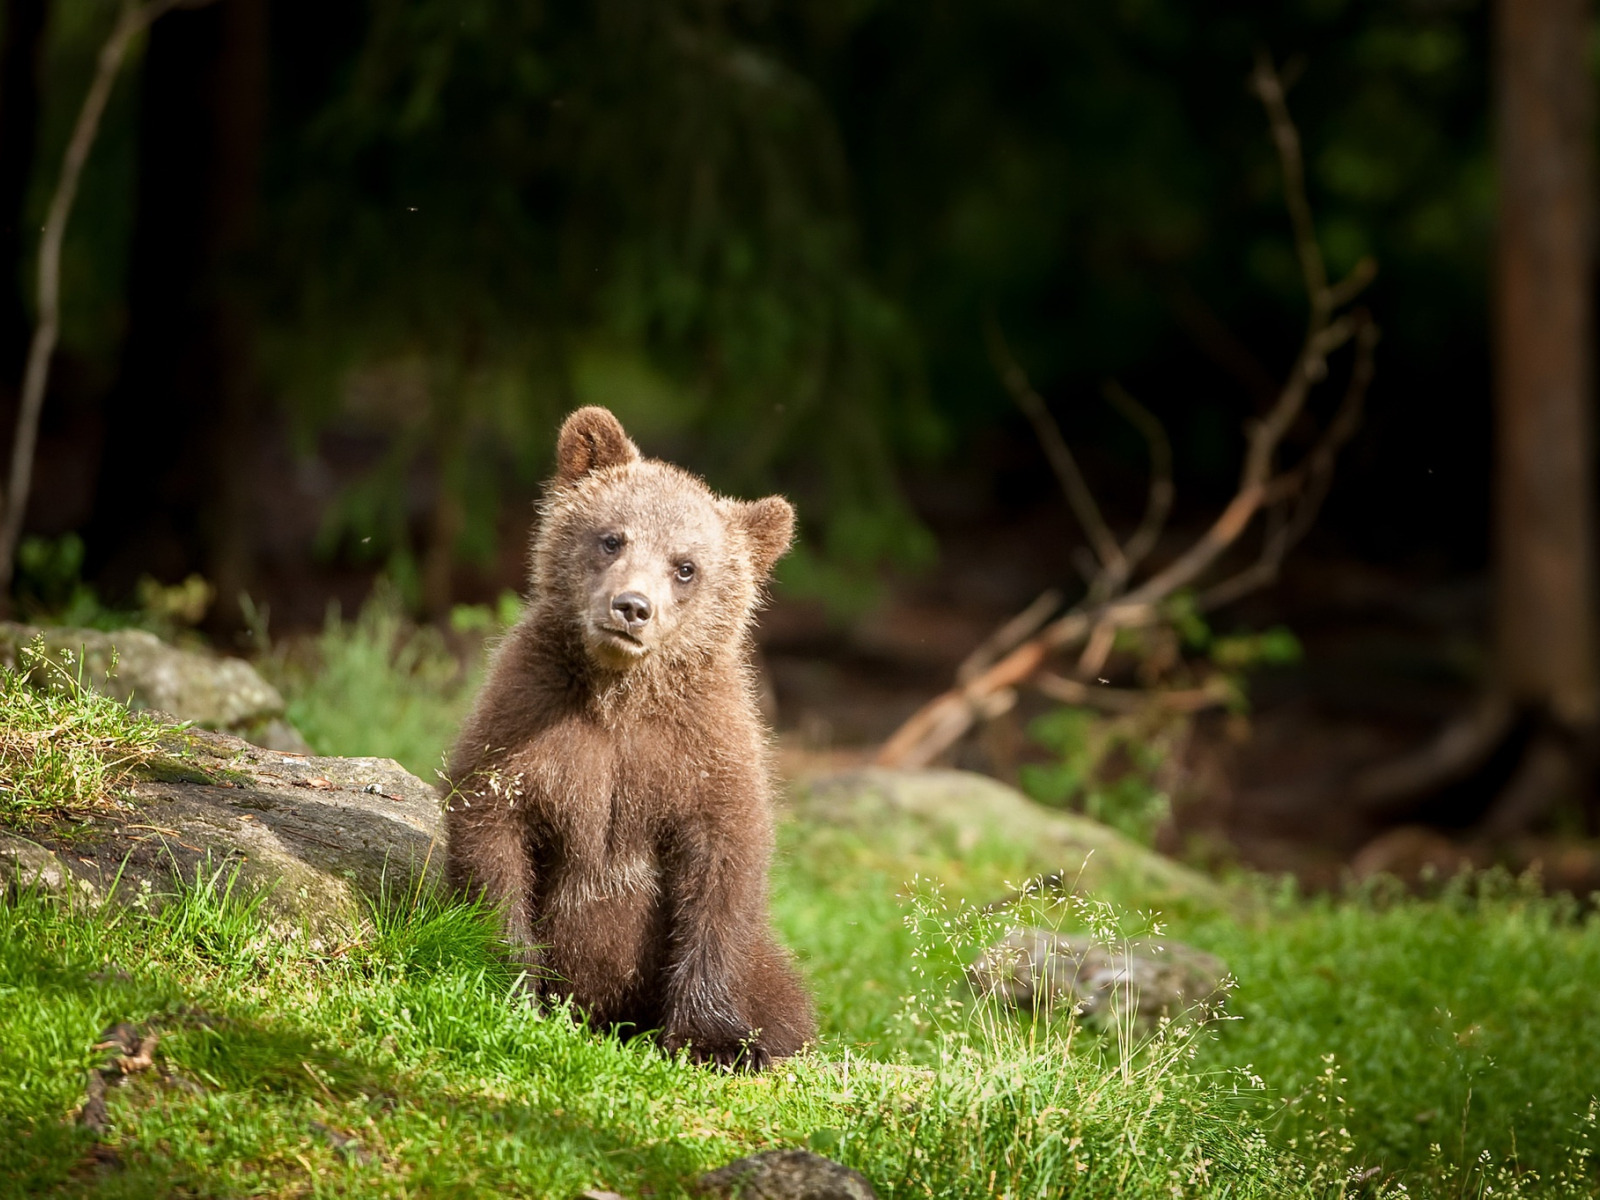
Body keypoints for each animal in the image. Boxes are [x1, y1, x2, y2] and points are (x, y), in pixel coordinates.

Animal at [444, 404, 812, 1068]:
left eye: (686, 566)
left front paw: (713, 1040)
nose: (633, 607)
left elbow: (723, 866)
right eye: (612, 537)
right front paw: (509, 986)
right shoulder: (527, 719)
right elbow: (493, 839)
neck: (620, 696)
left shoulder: (701, 751)